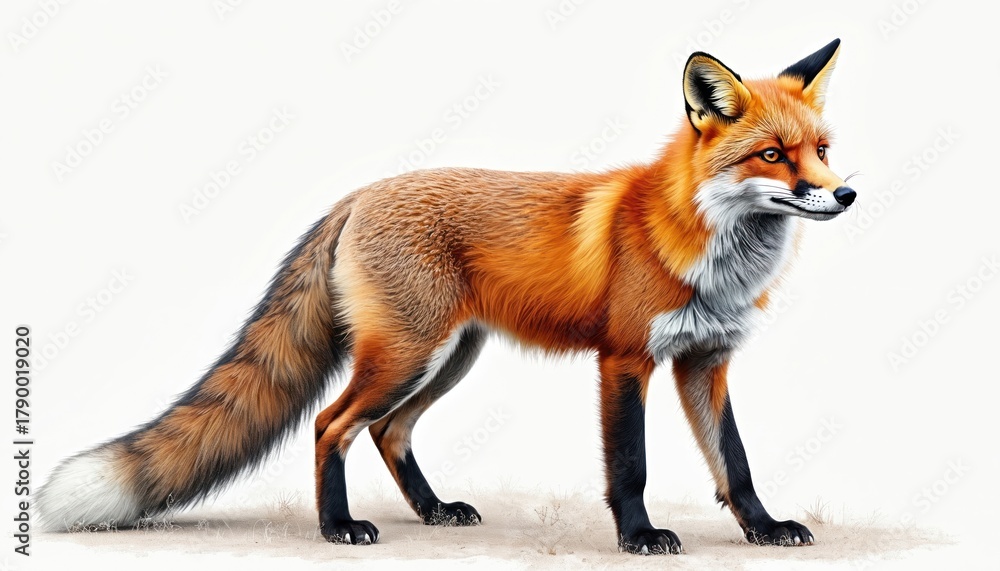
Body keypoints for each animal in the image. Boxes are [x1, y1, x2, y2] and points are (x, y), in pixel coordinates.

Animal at [37, 39, 856, 555]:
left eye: (822, 149)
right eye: (772, 155)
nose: (845, 194)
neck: (704, 245)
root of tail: (358, 194)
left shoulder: (704, 361)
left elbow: (735, 463)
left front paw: (764, 529)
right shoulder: (625, 360)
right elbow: (631, 464)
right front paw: (638, 537)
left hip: (448, 358)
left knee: (386, 431)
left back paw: (432, 510)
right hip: (406, 355)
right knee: (332, 425)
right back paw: (338, 528)